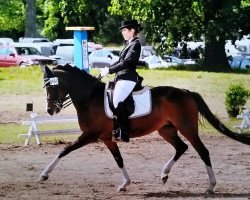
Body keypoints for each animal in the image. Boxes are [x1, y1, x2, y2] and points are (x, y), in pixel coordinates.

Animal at [38, 65, 249, 194]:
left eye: (52, 87)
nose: (50, 110)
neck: (90, 98)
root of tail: (186, 92)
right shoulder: (107, 138)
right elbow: (119, 160)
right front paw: (124, 184)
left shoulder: (90, 135)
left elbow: (64, 150)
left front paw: (44, 174)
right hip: (166, 130)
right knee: (181, 148)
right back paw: (164, 175)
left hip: (187, 128)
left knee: (202, 151)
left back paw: (211, 187)